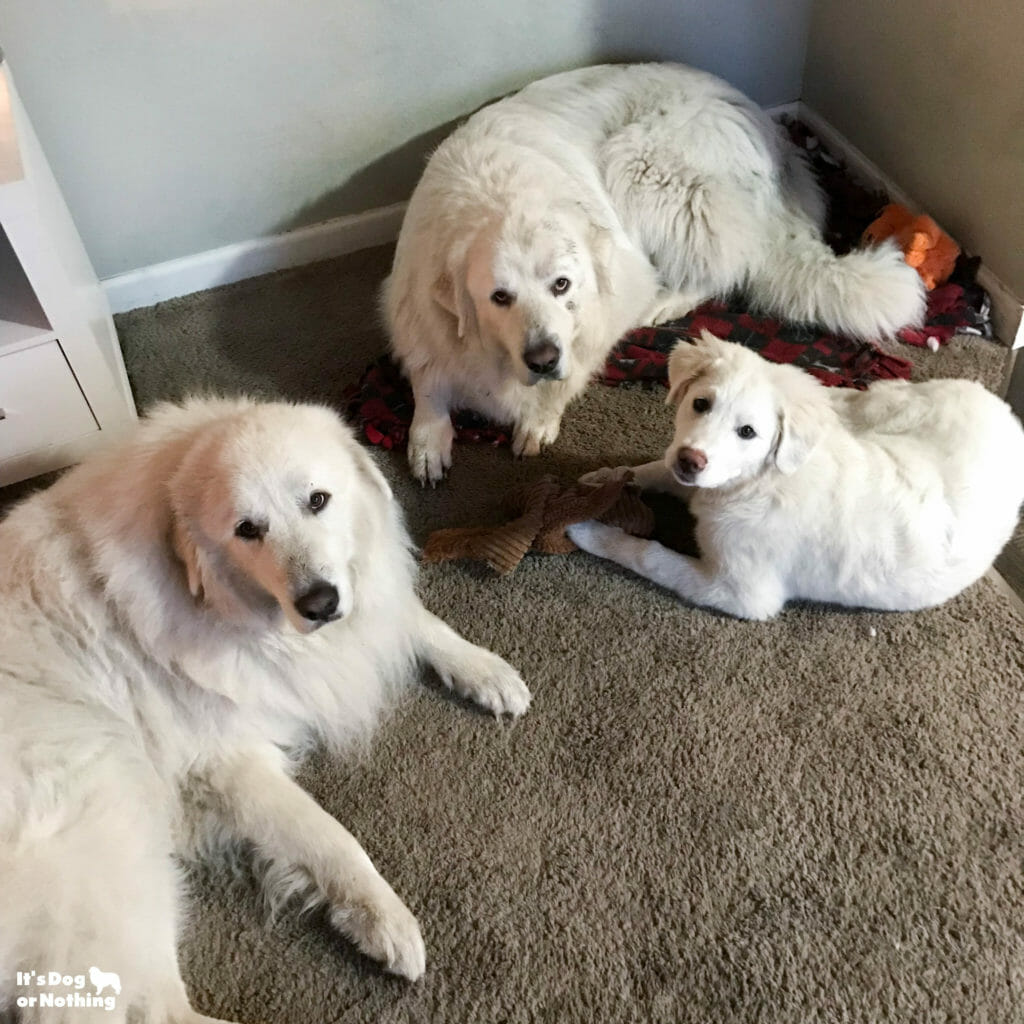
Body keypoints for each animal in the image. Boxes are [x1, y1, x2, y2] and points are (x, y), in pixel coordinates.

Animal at [0, 395, 528, 1024]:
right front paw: (384, 920)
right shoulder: (228, 765)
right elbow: (331, 838)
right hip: (116, 818)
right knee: (153, 1009)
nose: (320, 603)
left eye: (318, 500)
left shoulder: (360, 615)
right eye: (247, 530)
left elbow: (417, 620)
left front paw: (487, 672)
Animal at [385, 59, 929, 483]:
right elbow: (428, 373)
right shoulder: (414, 302)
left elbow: (572, 367)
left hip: (641, 164)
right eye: (500, 297)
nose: (542, 358)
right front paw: (428, 438)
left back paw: (665, 301)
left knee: (726, 264)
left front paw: (539, 419)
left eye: (562, 285)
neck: (498, 195)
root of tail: (767, 129)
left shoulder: (608, 295)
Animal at [569, 331, 1024, 618]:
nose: (689, 460)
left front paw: (590, 531)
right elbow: (653, 470)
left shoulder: (741, 592)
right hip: (889, 406)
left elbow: (651, 556)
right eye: (700, 404)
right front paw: (604, 478)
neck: (762, 481)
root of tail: (1005, 412)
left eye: (747, 432)